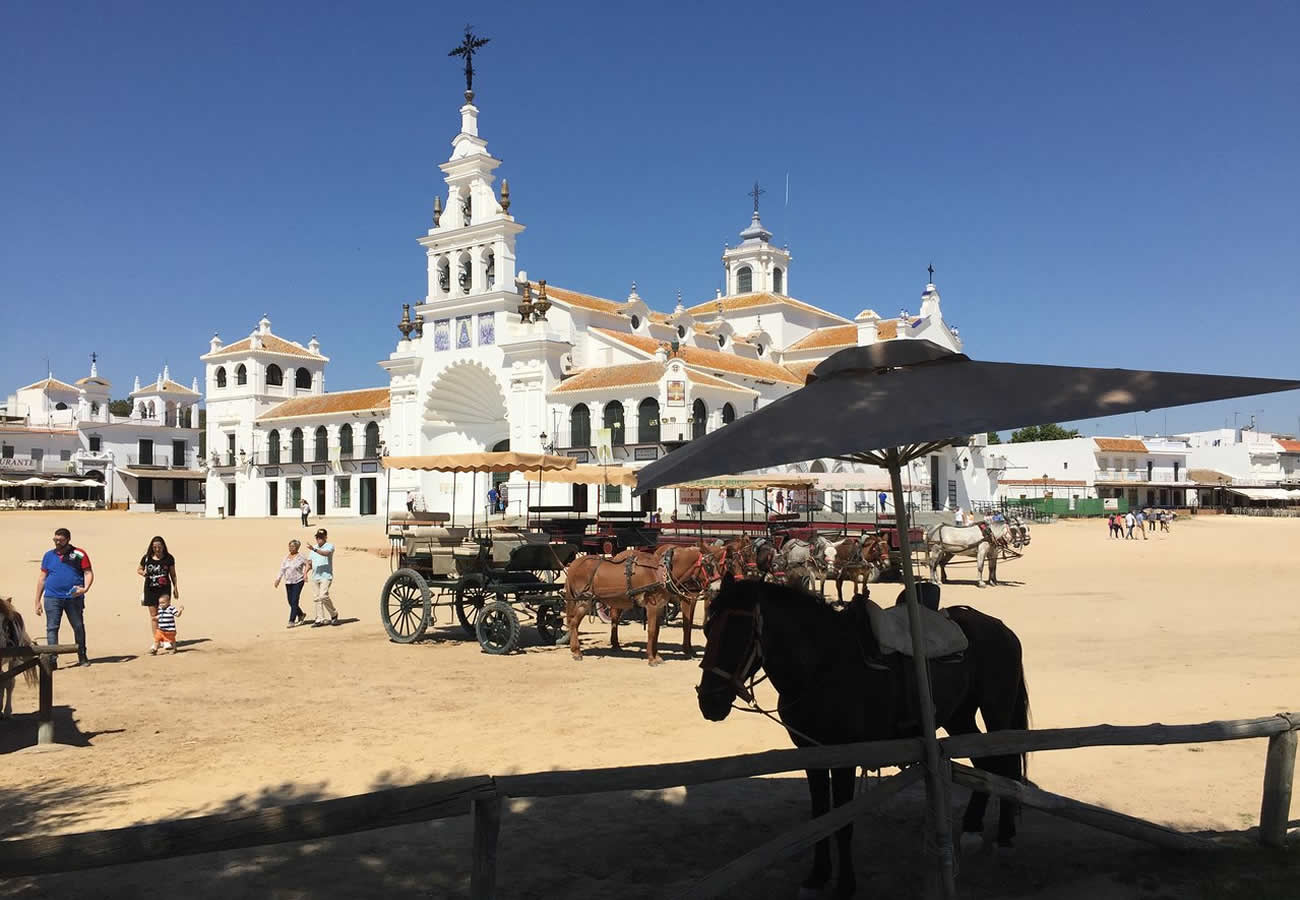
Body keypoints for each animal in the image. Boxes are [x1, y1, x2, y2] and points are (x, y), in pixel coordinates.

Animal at [561, 543, 722, 663]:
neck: (661, 572)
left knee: (577, 622)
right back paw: (577, 652)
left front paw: (657, 655)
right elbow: (651, 631)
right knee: (573, 623)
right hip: (584, 601)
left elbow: (656, 631)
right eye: (708, 566)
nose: (717, 588)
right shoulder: (652, 605)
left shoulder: (660, 607)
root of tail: (575, 564)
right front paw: (651, 658)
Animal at [696, 577, 1029, 900]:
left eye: (739, 634)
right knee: (985, 764)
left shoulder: (846, 756)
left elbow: (843, 823)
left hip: (996, 712)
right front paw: (817, 877)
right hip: (959, 716)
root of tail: (1001, 628)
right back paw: (973, 828)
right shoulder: (811, 754)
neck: (822, 667)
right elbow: (820, 817)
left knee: (1006, 765)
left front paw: (845, 885)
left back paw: (1005, 834)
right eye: (708, 630)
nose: (708, 701)